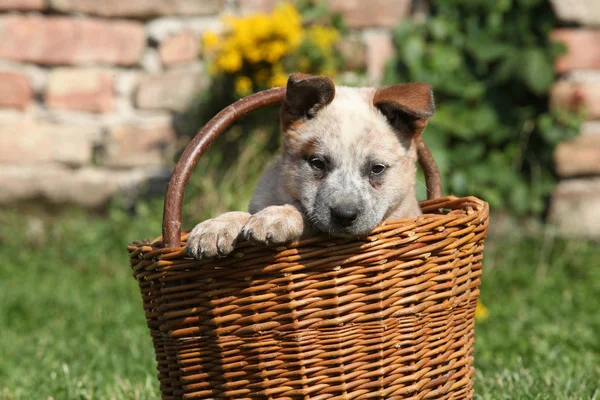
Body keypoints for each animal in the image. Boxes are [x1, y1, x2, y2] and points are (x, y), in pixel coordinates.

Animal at [185, 72, 434, 260]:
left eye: (377, 168)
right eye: (317, 163)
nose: (345, 215)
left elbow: (306, 216)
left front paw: (277, 216)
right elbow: (247, 213)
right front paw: (217, 225)